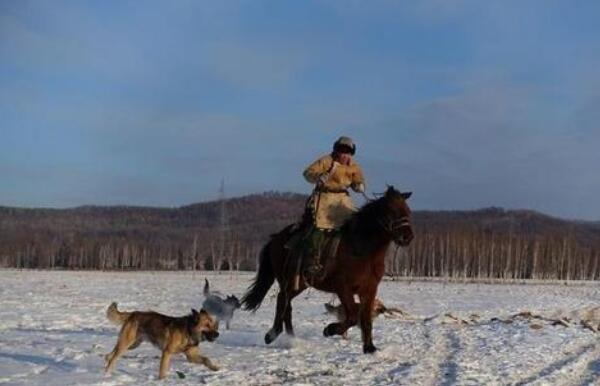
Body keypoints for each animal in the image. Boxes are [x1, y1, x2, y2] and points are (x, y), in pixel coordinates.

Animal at [239, 185, 412, 352]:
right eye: (391, 210)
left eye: (408, 210)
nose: (408, 237)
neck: (360, 250)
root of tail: (276, 238)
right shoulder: (343, 288)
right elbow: (352, 316)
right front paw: (330, 330)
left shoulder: (369, 290)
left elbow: (366, 319)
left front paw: (369, 348)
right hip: (288, 280)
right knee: (282, 300)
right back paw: (273, 334)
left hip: (299, 284)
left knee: (287, 305)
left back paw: (291, 338)